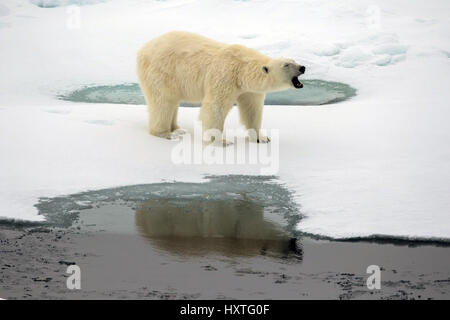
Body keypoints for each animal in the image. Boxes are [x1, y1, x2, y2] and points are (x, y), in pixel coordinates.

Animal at [137, 31, 306, 143]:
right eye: (286, 65)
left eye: (294, 60)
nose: (302, 67)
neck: (242, 68)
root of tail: (142, 50)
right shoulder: (225, 76)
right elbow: (215, 106)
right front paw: (221, 141)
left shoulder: (250, 90)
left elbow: (252, 110)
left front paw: (261, 138)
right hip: (162, 72)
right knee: (163, 101)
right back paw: (166, 133)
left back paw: (178, 128)